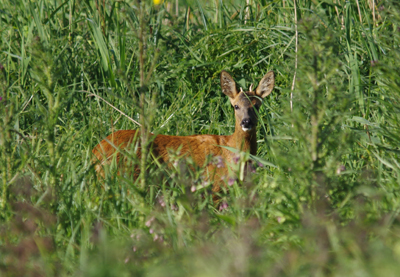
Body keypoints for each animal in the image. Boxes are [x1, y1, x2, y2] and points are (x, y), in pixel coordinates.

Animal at [92, 70, 276, 197]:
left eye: (257, 106)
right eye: (236, 106)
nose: (246, 122)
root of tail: (96, 151)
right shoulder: (215, 186)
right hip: (127, 176)